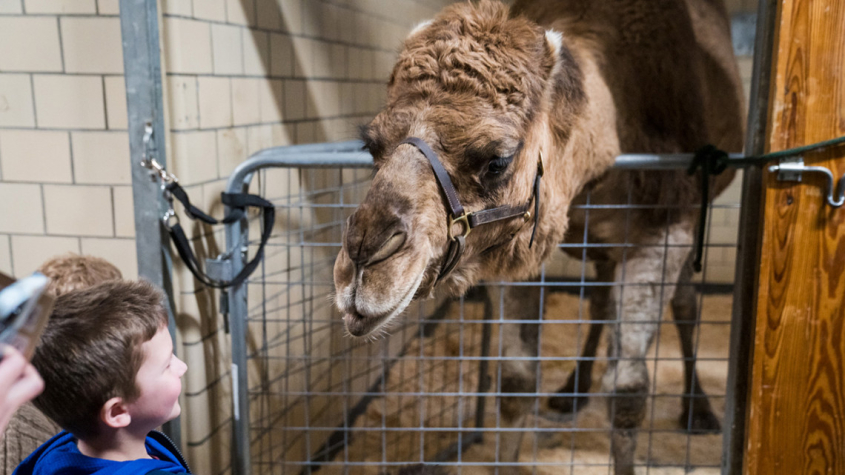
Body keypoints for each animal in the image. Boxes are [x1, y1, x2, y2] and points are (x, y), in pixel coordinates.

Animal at [333, 1, 744, 473]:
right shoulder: (516, 240)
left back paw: (700, 412)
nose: (363, 257)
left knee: (684, 303)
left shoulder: (667, 222)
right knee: (601, 296)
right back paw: (570, 393)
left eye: (497, 160)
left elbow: (628, 392)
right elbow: (515, 380)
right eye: (371, 146)